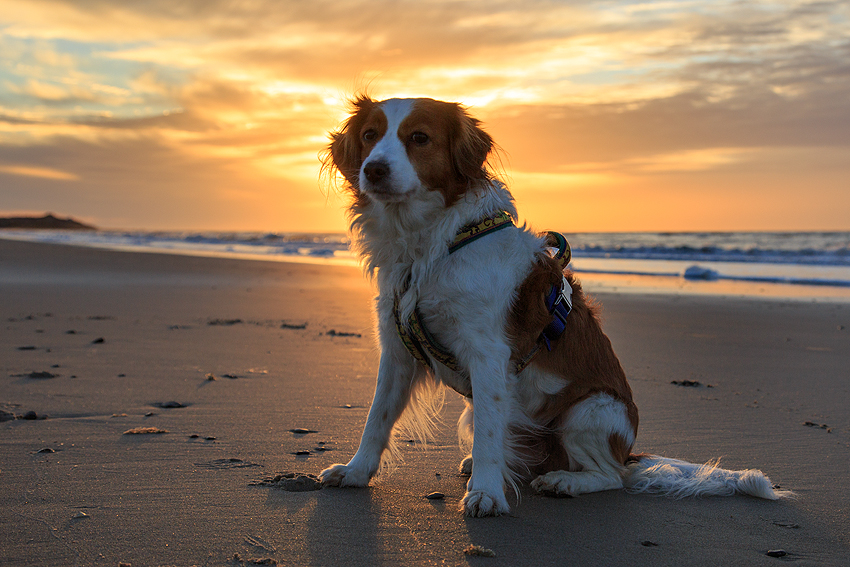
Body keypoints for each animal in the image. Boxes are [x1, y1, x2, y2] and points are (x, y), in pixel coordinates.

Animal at [320, 95, 788, 516]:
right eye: (370, 136)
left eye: (419, 138)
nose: (373, 169)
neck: (428, 247)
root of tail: (628, 452)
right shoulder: (397, 350)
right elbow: (376, 418)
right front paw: (356, 472)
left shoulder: (488, 355)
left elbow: (489, 435)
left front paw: (486, 494)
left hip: (589, 411)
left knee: (611, 476)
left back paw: (564, 481)